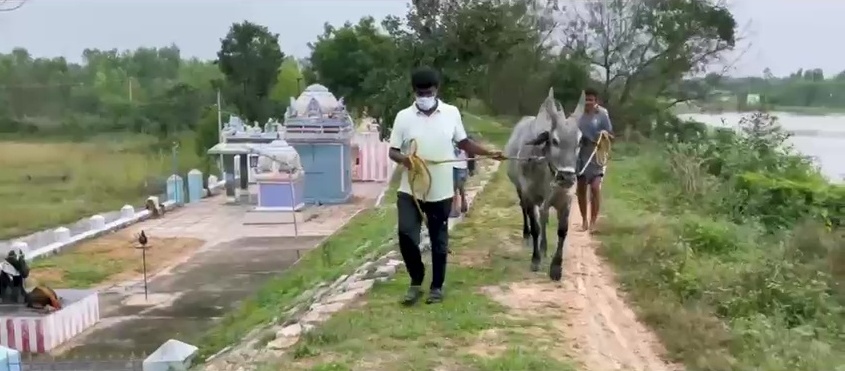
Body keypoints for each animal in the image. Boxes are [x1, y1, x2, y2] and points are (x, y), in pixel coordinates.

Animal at [504, 88, 584, 282]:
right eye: (554, 141)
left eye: (579, 141)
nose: (567, 178)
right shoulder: (530, 196)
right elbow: (536, 228)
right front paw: (536, 260)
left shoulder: (566, 201)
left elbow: (562, 231)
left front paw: (556, 268)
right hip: (520, 191)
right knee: (525, 212)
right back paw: (527, 236)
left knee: (544, 217)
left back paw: (544, 246)